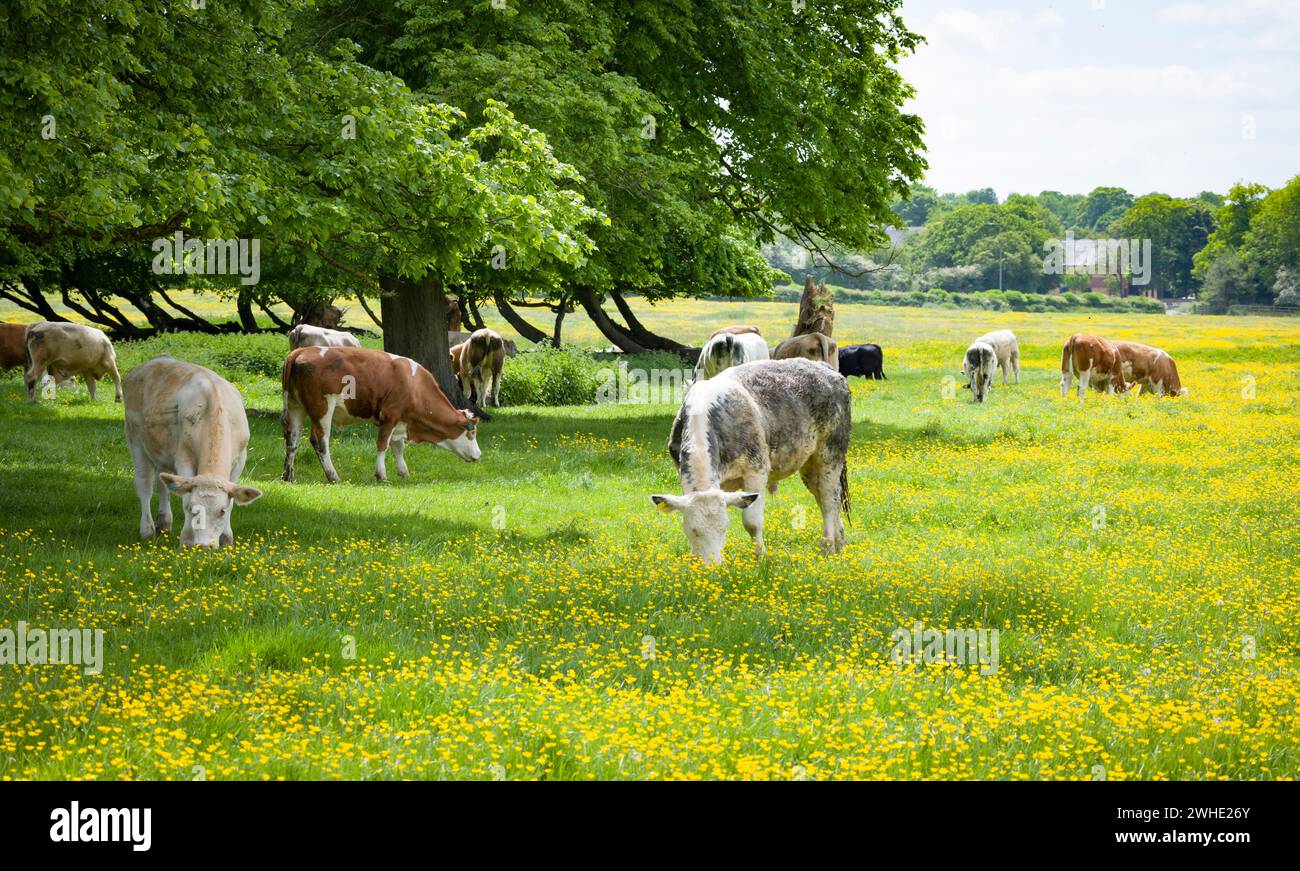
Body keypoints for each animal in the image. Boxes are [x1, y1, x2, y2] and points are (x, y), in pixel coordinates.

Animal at [123, 356, 261, 548]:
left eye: (221, 511)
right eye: (192, 509)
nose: (204, 545)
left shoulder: (240, 460)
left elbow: (233, 500)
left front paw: (226, 538)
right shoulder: (184, 458)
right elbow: (185, 498)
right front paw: (186, 539)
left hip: (162, 452)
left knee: (162, 483)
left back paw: (164, 523)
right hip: (135, 438)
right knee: (144, 485)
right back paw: (147, 530)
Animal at [281, 346, 480, 483]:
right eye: (472, 433)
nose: (479, 454)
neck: (414, 384)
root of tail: (300, 351)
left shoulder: (401, 420)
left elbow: (398, 447)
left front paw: (404, 472)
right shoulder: (389, 416)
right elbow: (383, 445)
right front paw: (381, 475)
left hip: (295, 406)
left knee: (292, 438)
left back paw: (288, 476)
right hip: (322, 408)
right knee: (320, 441)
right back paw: (333, 476)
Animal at [653, 358, 851, 564]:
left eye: (724, 529)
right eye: (694, 530)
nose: (712, 566)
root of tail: (824, 367)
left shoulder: (756, 472)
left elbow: (752, 522)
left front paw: (760, 557)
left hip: (830, 454)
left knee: (829, 500)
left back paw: (827, 547)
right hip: (809, 465)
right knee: (828, 498)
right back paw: (840, 543)